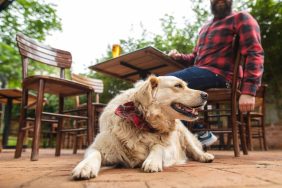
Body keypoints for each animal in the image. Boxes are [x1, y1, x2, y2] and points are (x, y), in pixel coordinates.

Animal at [72, 75, 214, 179]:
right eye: (178, 85)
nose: (206, 95)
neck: (143, 121)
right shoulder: (98, 146)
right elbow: (94, 154)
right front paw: (85, 167)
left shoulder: (171, 148)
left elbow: (158, 146)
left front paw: (152, 161)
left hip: (183, 134)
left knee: (194, 149)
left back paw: (205, 156)